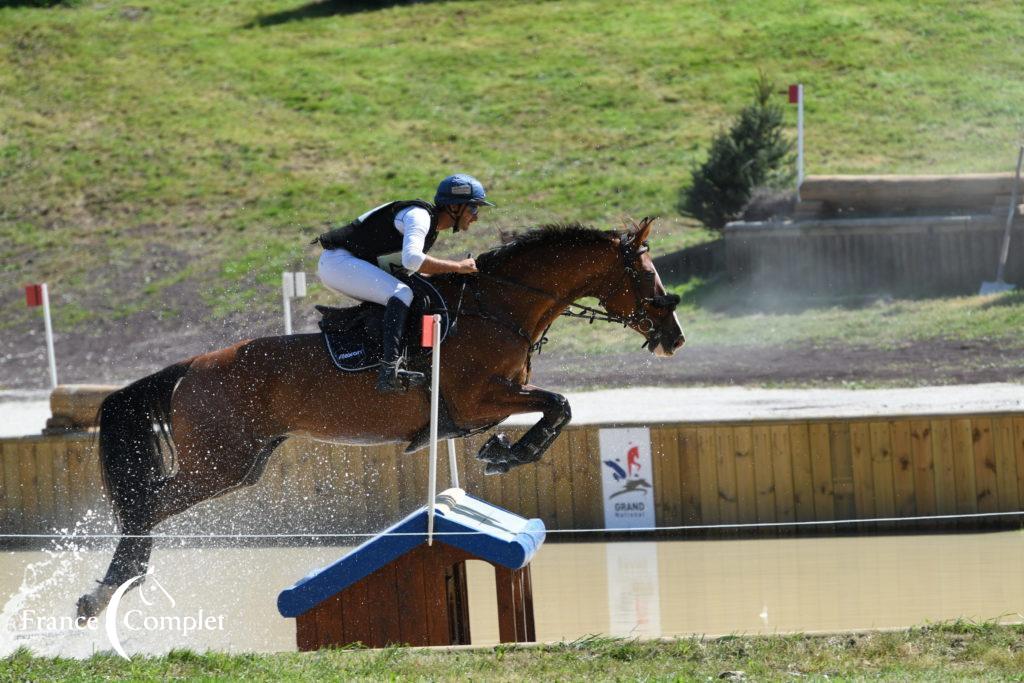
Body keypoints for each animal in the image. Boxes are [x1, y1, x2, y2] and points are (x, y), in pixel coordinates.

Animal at [75, 218, 684, 618]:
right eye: (645, 273)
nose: (674, 337)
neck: (498, 307)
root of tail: (190, 368)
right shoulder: (480, 398)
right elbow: (559, 404)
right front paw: (508, 454)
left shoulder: (490, 400)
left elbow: (556, 407)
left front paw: (501, 452)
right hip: (217, 462)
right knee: (146, 503)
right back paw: (104, 592)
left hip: (242, 465)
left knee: (149, 503)